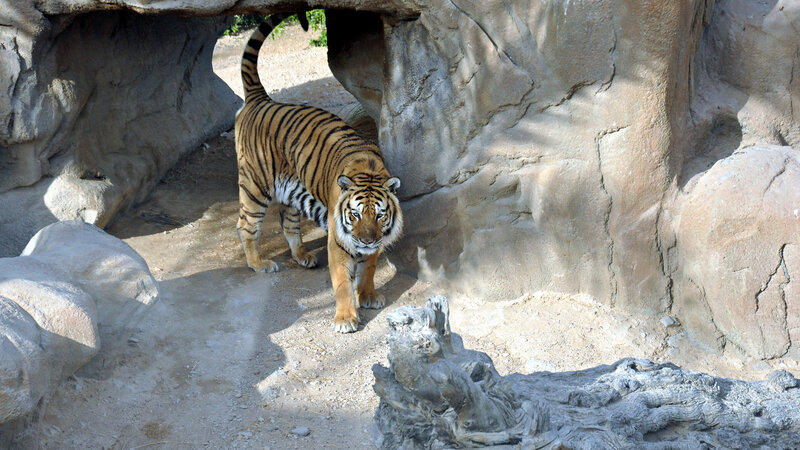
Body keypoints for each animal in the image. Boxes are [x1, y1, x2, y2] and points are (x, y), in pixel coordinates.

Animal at [235, 13, 403, 333]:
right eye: (354, 214)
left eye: (379, 215)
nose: (365, 240)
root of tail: (261, 99)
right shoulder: (338, 241)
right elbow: (342, 282)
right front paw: (345, 318)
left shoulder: (374, 243)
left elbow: (368, 269)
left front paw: (369, 295)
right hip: (255, 186)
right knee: (246, 225)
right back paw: (259, 263)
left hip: (290, 191)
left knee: (289, 224)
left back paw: (302, 256)